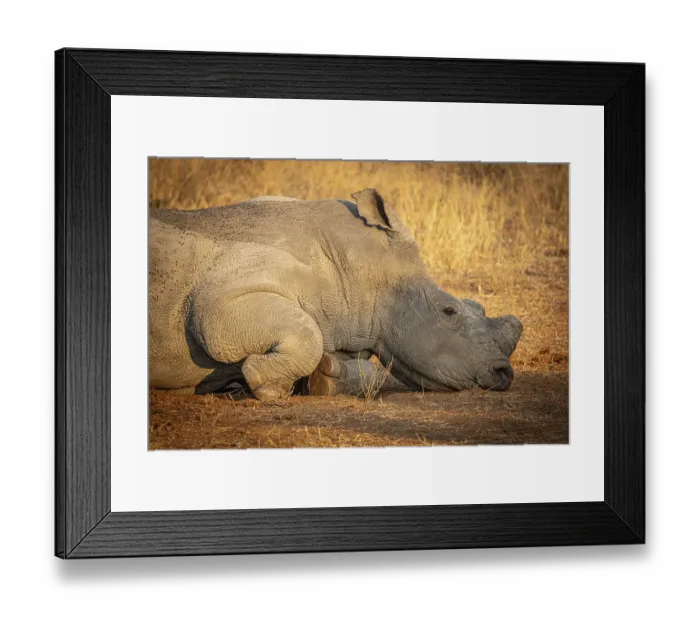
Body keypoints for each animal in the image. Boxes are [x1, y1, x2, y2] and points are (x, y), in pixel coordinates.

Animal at [149, 189, 523, 401]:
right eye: (449, 312)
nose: (504, 374)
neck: (359, 268)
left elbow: (365, 370)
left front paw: (321, 379)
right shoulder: (220, 301)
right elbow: (306, 335)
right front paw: (264, 385)